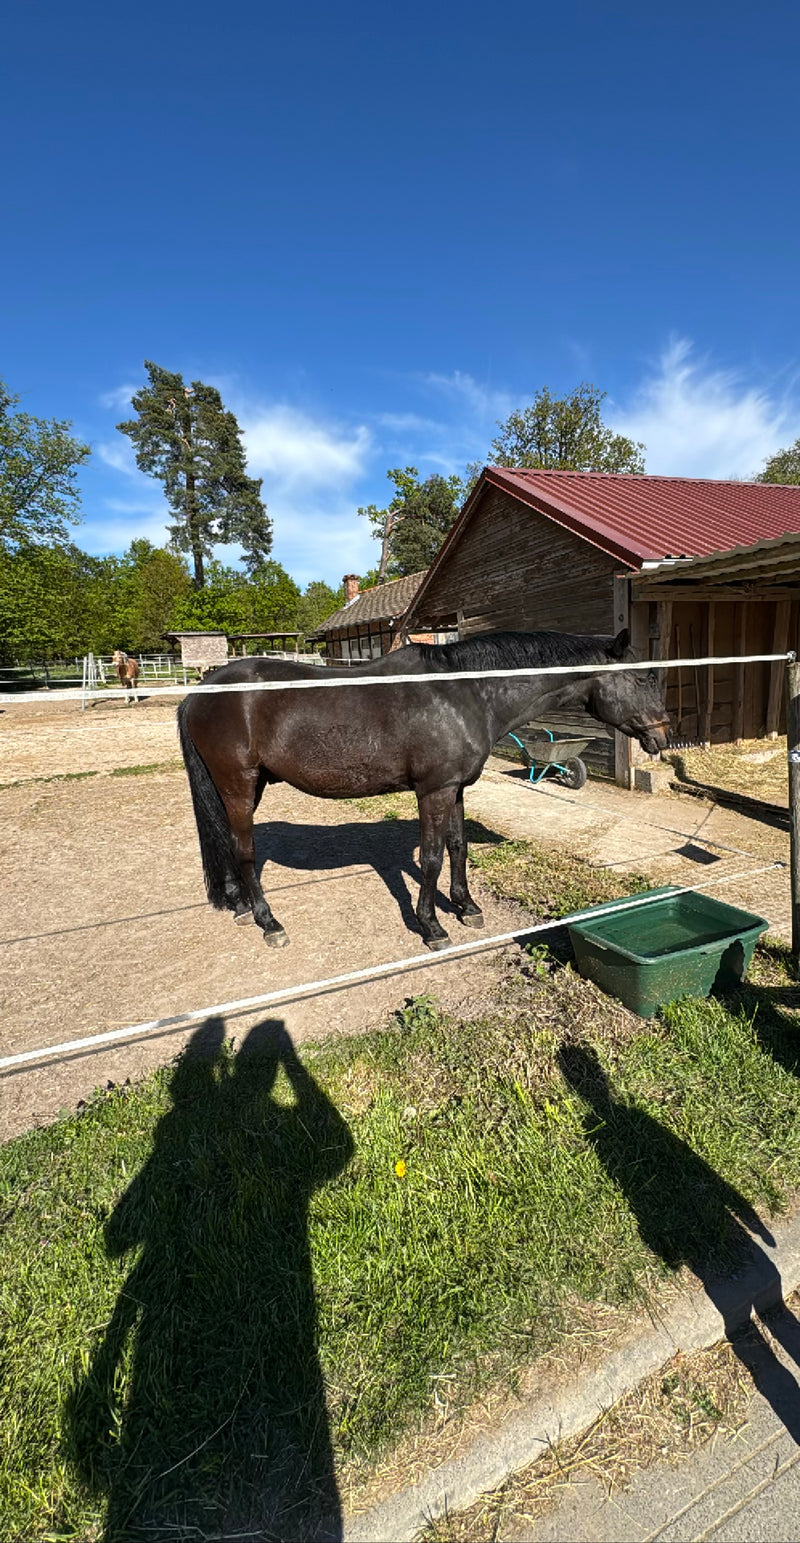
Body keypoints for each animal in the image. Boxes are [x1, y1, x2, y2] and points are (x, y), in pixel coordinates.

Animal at [177, 628, 671, 951]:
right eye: (643, 678)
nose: (664, 737)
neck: (463, 693)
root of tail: (201, 690)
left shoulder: (456, 788)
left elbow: (458, 846)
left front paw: (467, 907)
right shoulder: (433, 791)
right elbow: (431, 857)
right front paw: (432, 926)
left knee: (229, 844)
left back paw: (240, 906)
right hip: (239, 785)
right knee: (244, 851)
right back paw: (269, 922)